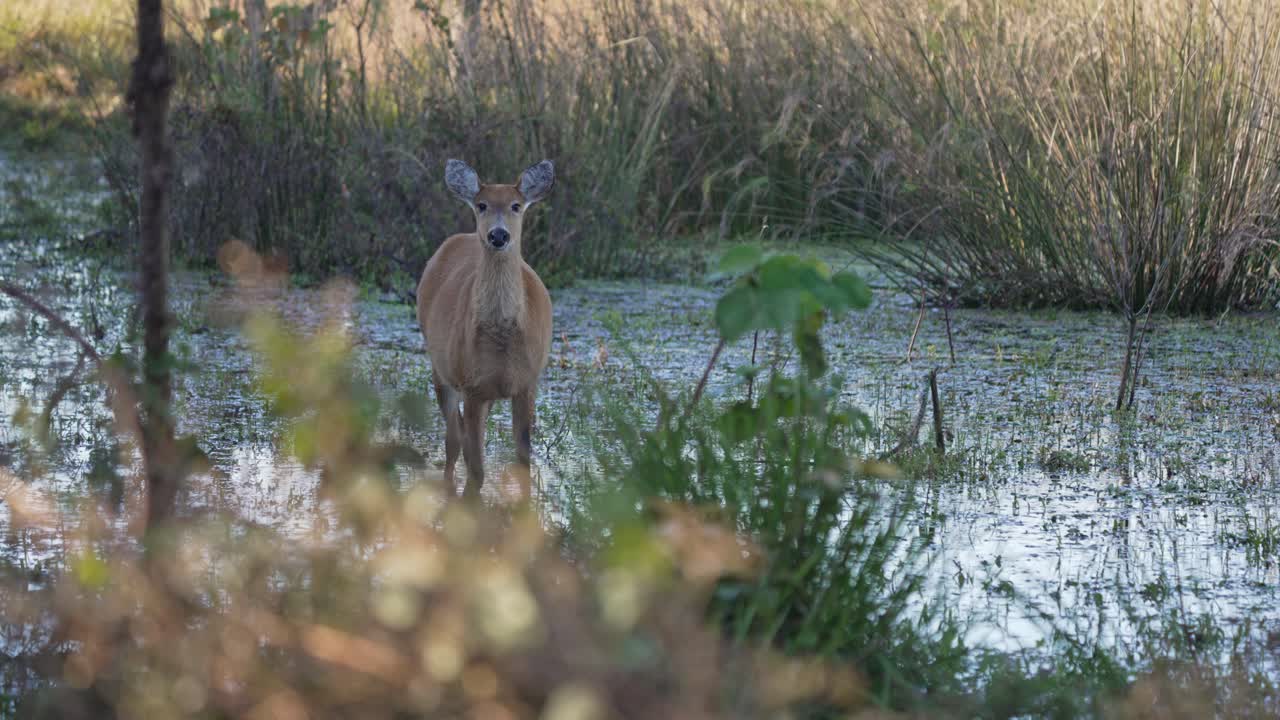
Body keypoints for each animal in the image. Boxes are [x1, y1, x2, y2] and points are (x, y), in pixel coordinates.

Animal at [416, 159, 555, 495]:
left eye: (516, 205)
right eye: (482, 205)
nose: (498, 235)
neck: (503, 336)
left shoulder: (527, 383)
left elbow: (523, 461)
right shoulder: (472, 384)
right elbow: (475, 467)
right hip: (441, 368)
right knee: (454, 439)